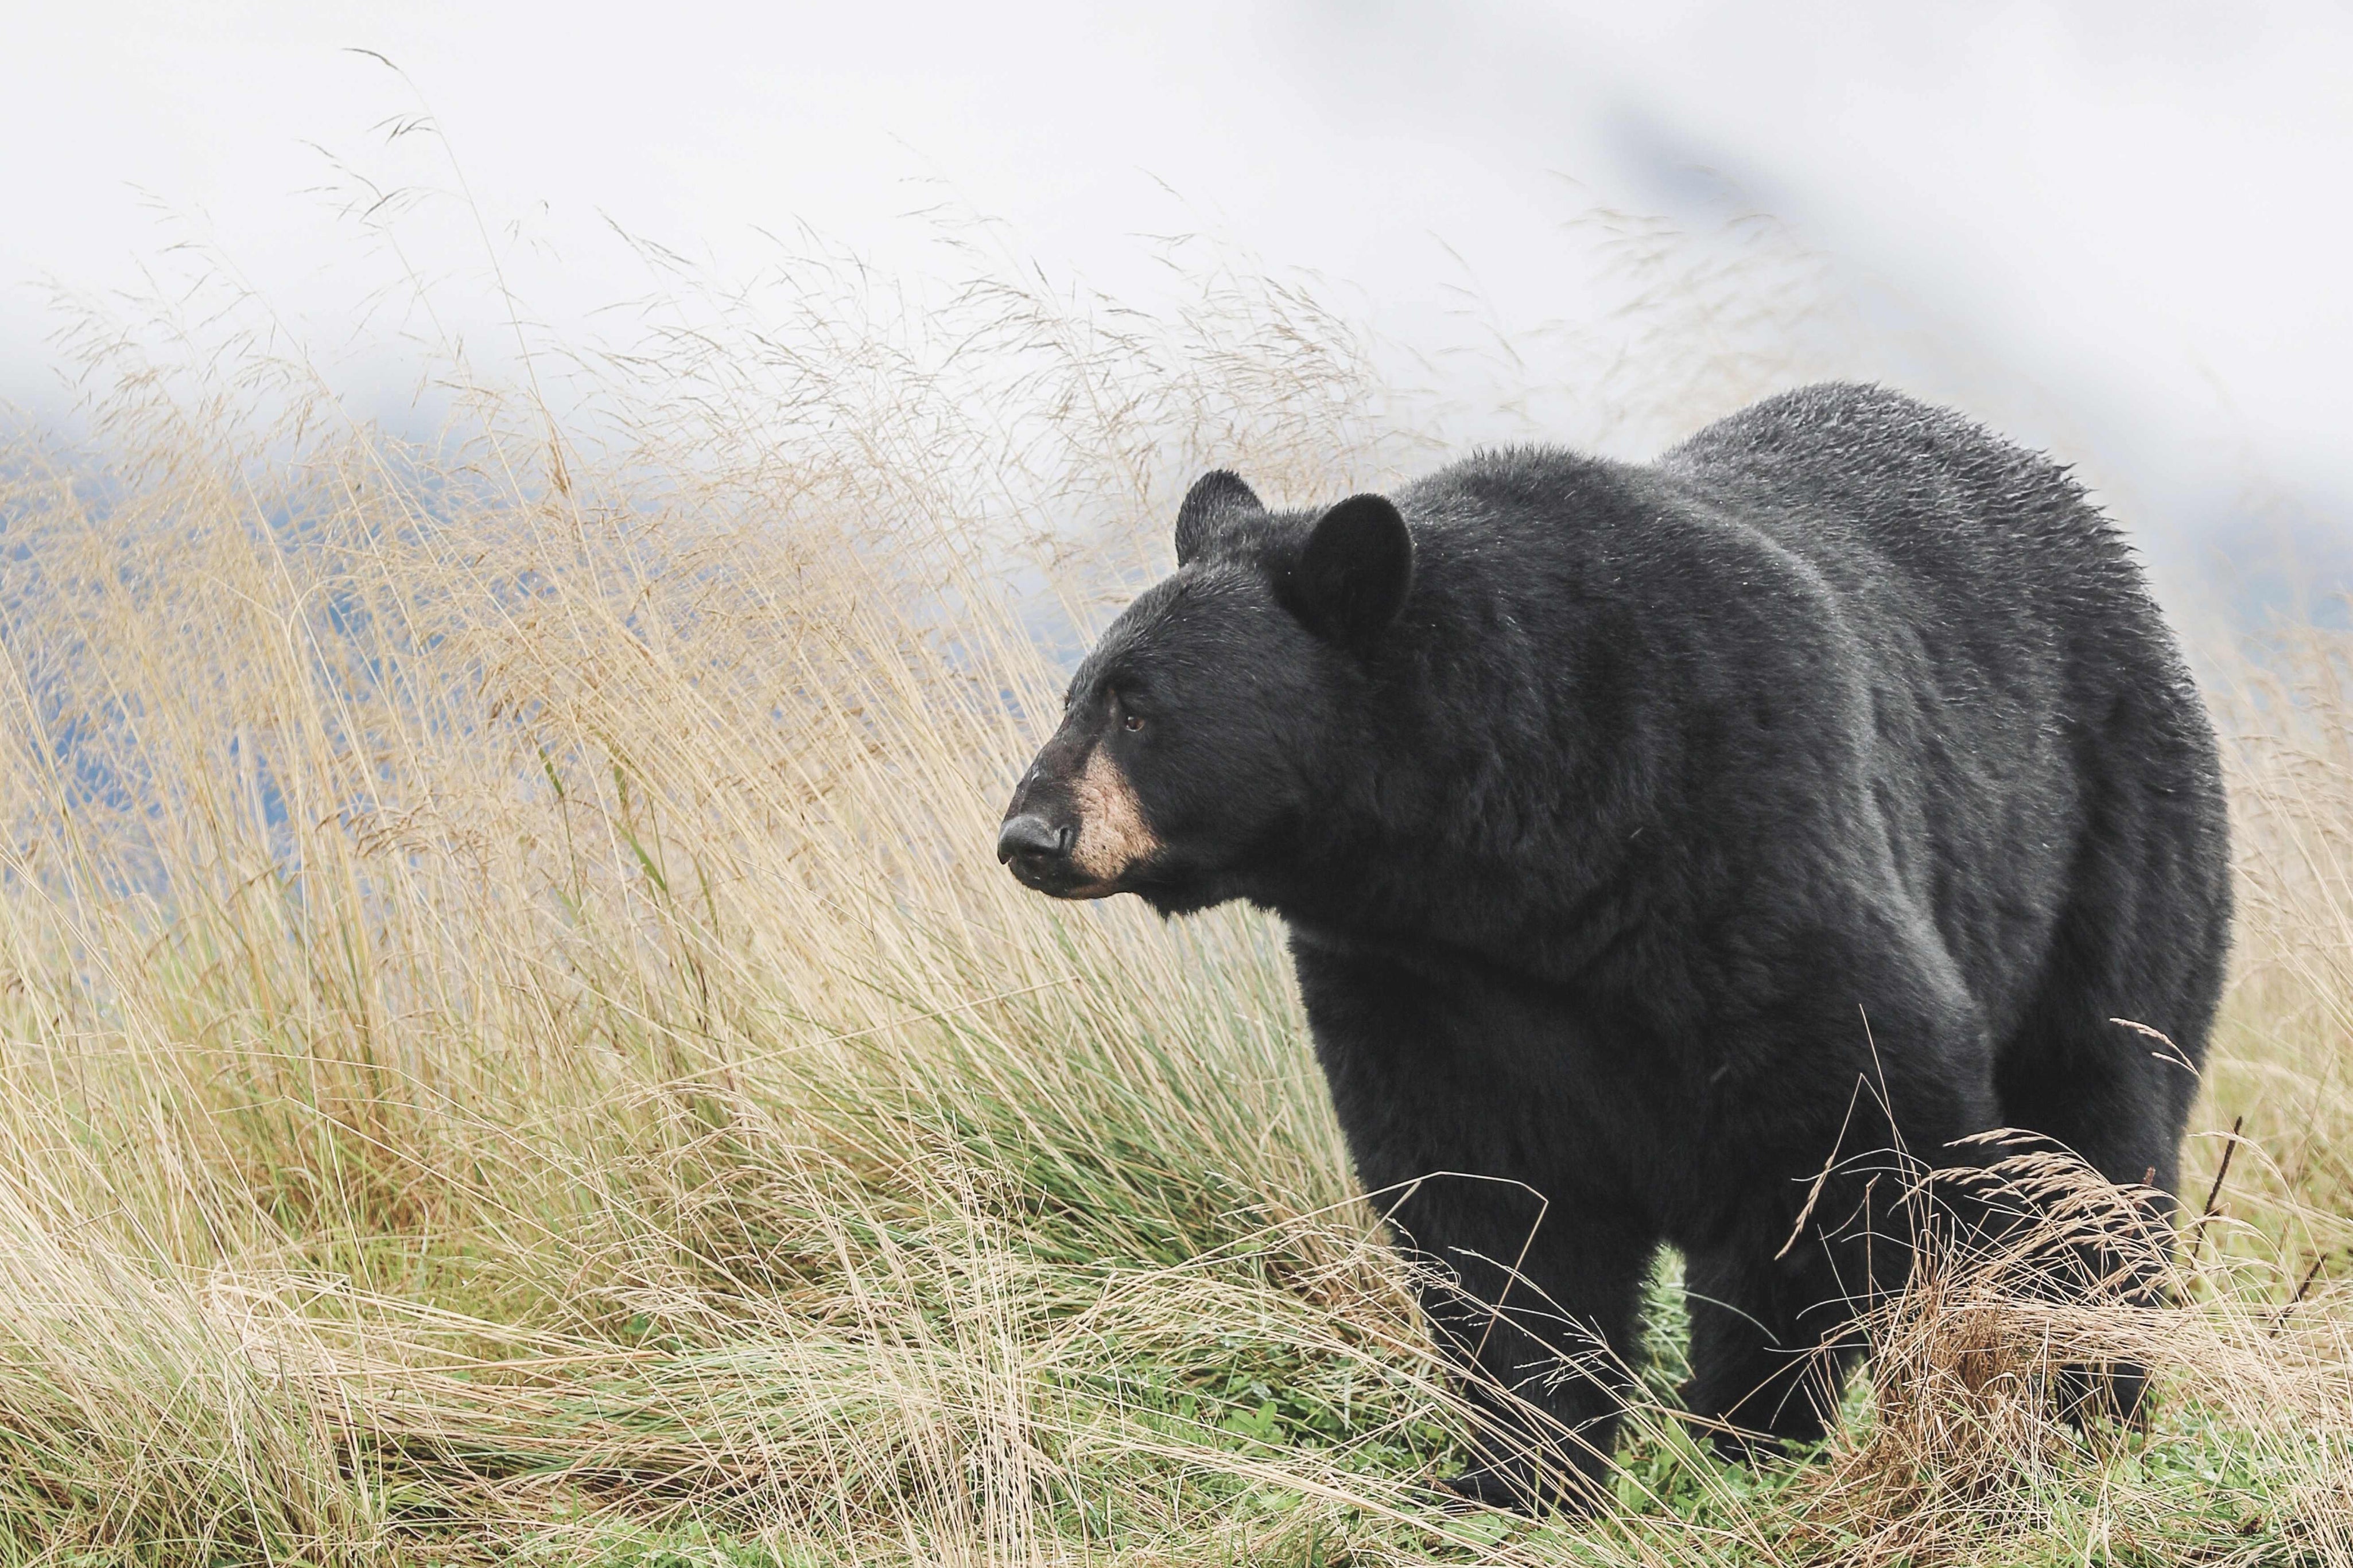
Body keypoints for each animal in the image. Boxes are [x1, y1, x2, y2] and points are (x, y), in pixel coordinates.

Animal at [993, 380, 2221, 1504]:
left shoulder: (1749, 840)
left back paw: (2090, 1405)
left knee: (2100, 1138)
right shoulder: (1416, 984)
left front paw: (1758, 1436)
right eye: (1075, 693)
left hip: (2113, 844)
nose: (1029, 834)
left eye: (1139, 706)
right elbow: (1490, 1213)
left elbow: (1855, 1123)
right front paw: (1518, 1470)